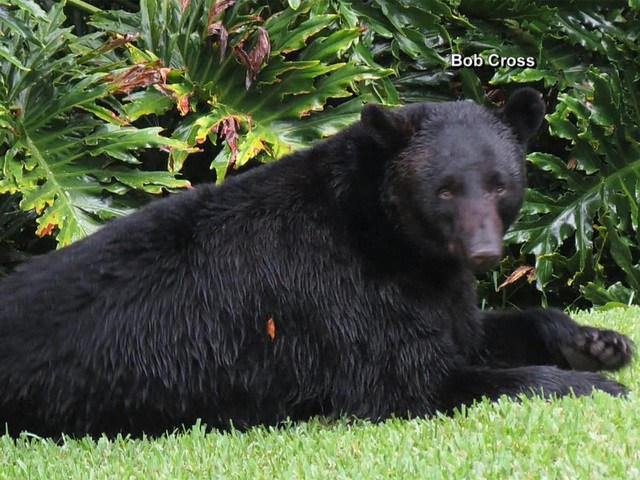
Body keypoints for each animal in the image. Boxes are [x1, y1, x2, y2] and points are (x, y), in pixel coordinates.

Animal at [0, 88, 632, 436]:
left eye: (500, 183)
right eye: (446, 189)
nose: (482, 252)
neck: (389, 238)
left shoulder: (431, 287)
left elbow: (472, 331)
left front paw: (597, 344)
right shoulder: (337, 295)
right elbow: (414, 383)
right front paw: (592, 386)